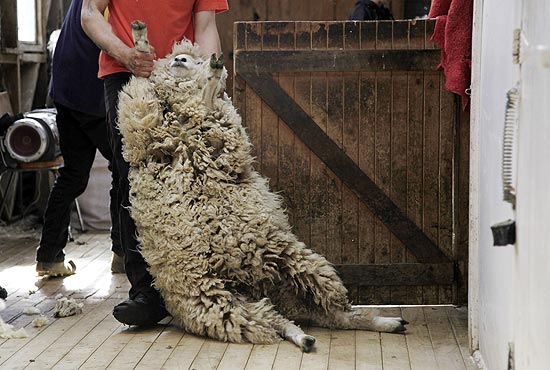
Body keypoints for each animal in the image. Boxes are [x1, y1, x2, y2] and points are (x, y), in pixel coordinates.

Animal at [117, 41, 410, 352]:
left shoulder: (218, 135)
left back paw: (382, 323)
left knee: (333, 314)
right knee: (280, 320)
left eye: (194, 59)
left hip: (302, 266)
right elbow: (160, 102)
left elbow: (208, 103)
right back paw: (307, 336)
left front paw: (211, 74)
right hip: (223, 304)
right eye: (178, 58)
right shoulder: (146, 128)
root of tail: (252, 279)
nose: (181, 60)